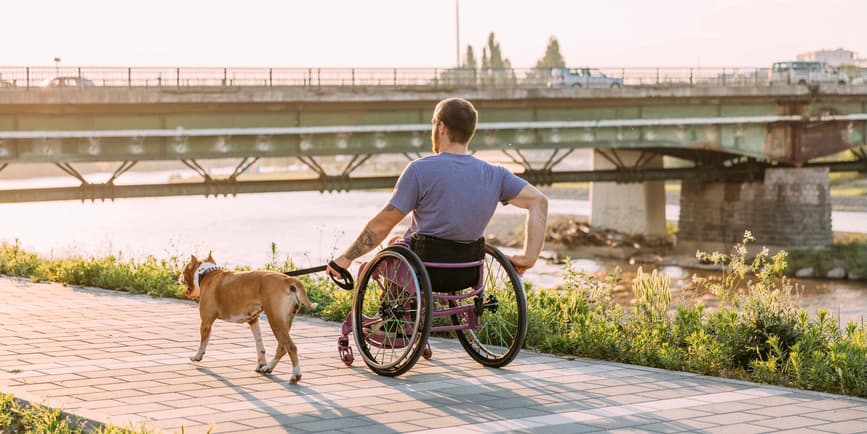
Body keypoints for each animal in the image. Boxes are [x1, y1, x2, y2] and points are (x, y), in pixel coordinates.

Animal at [179, 254, 316, 384]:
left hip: (275, 321)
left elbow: (203, 343)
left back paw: (295, 375)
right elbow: (260, 345)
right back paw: (268, 368)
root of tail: (288, 279)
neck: (206, 273)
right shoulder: (253, 321)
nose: (179, 276)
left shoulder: (206, 322)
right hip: (285, 321)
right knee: (282, 347)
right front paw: (261, 364)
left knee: (291, 347)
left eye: (184, 269)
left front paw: (197, 356)